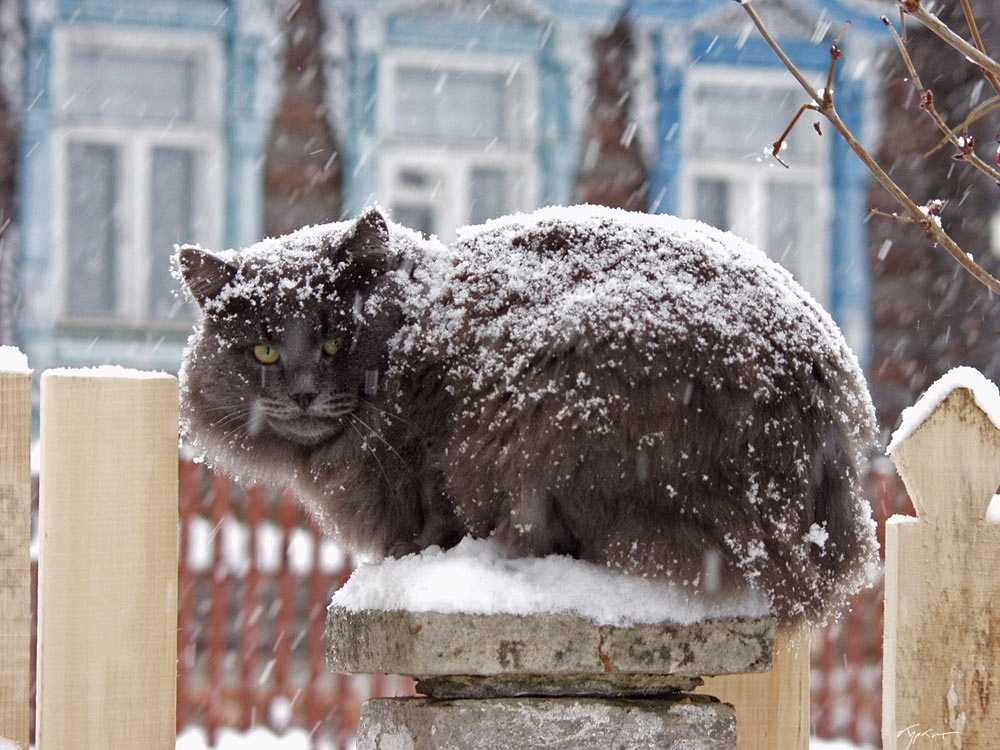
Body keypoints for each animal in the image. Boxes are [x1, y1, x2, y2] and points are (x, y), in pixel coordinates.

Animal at [178, 206, 876, 628]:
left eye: (333, 342)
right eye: (264, 350)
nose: (301, 392)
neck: (413, 332)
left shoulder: (428, 471)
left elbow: (430, 521)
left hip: (561, 401)